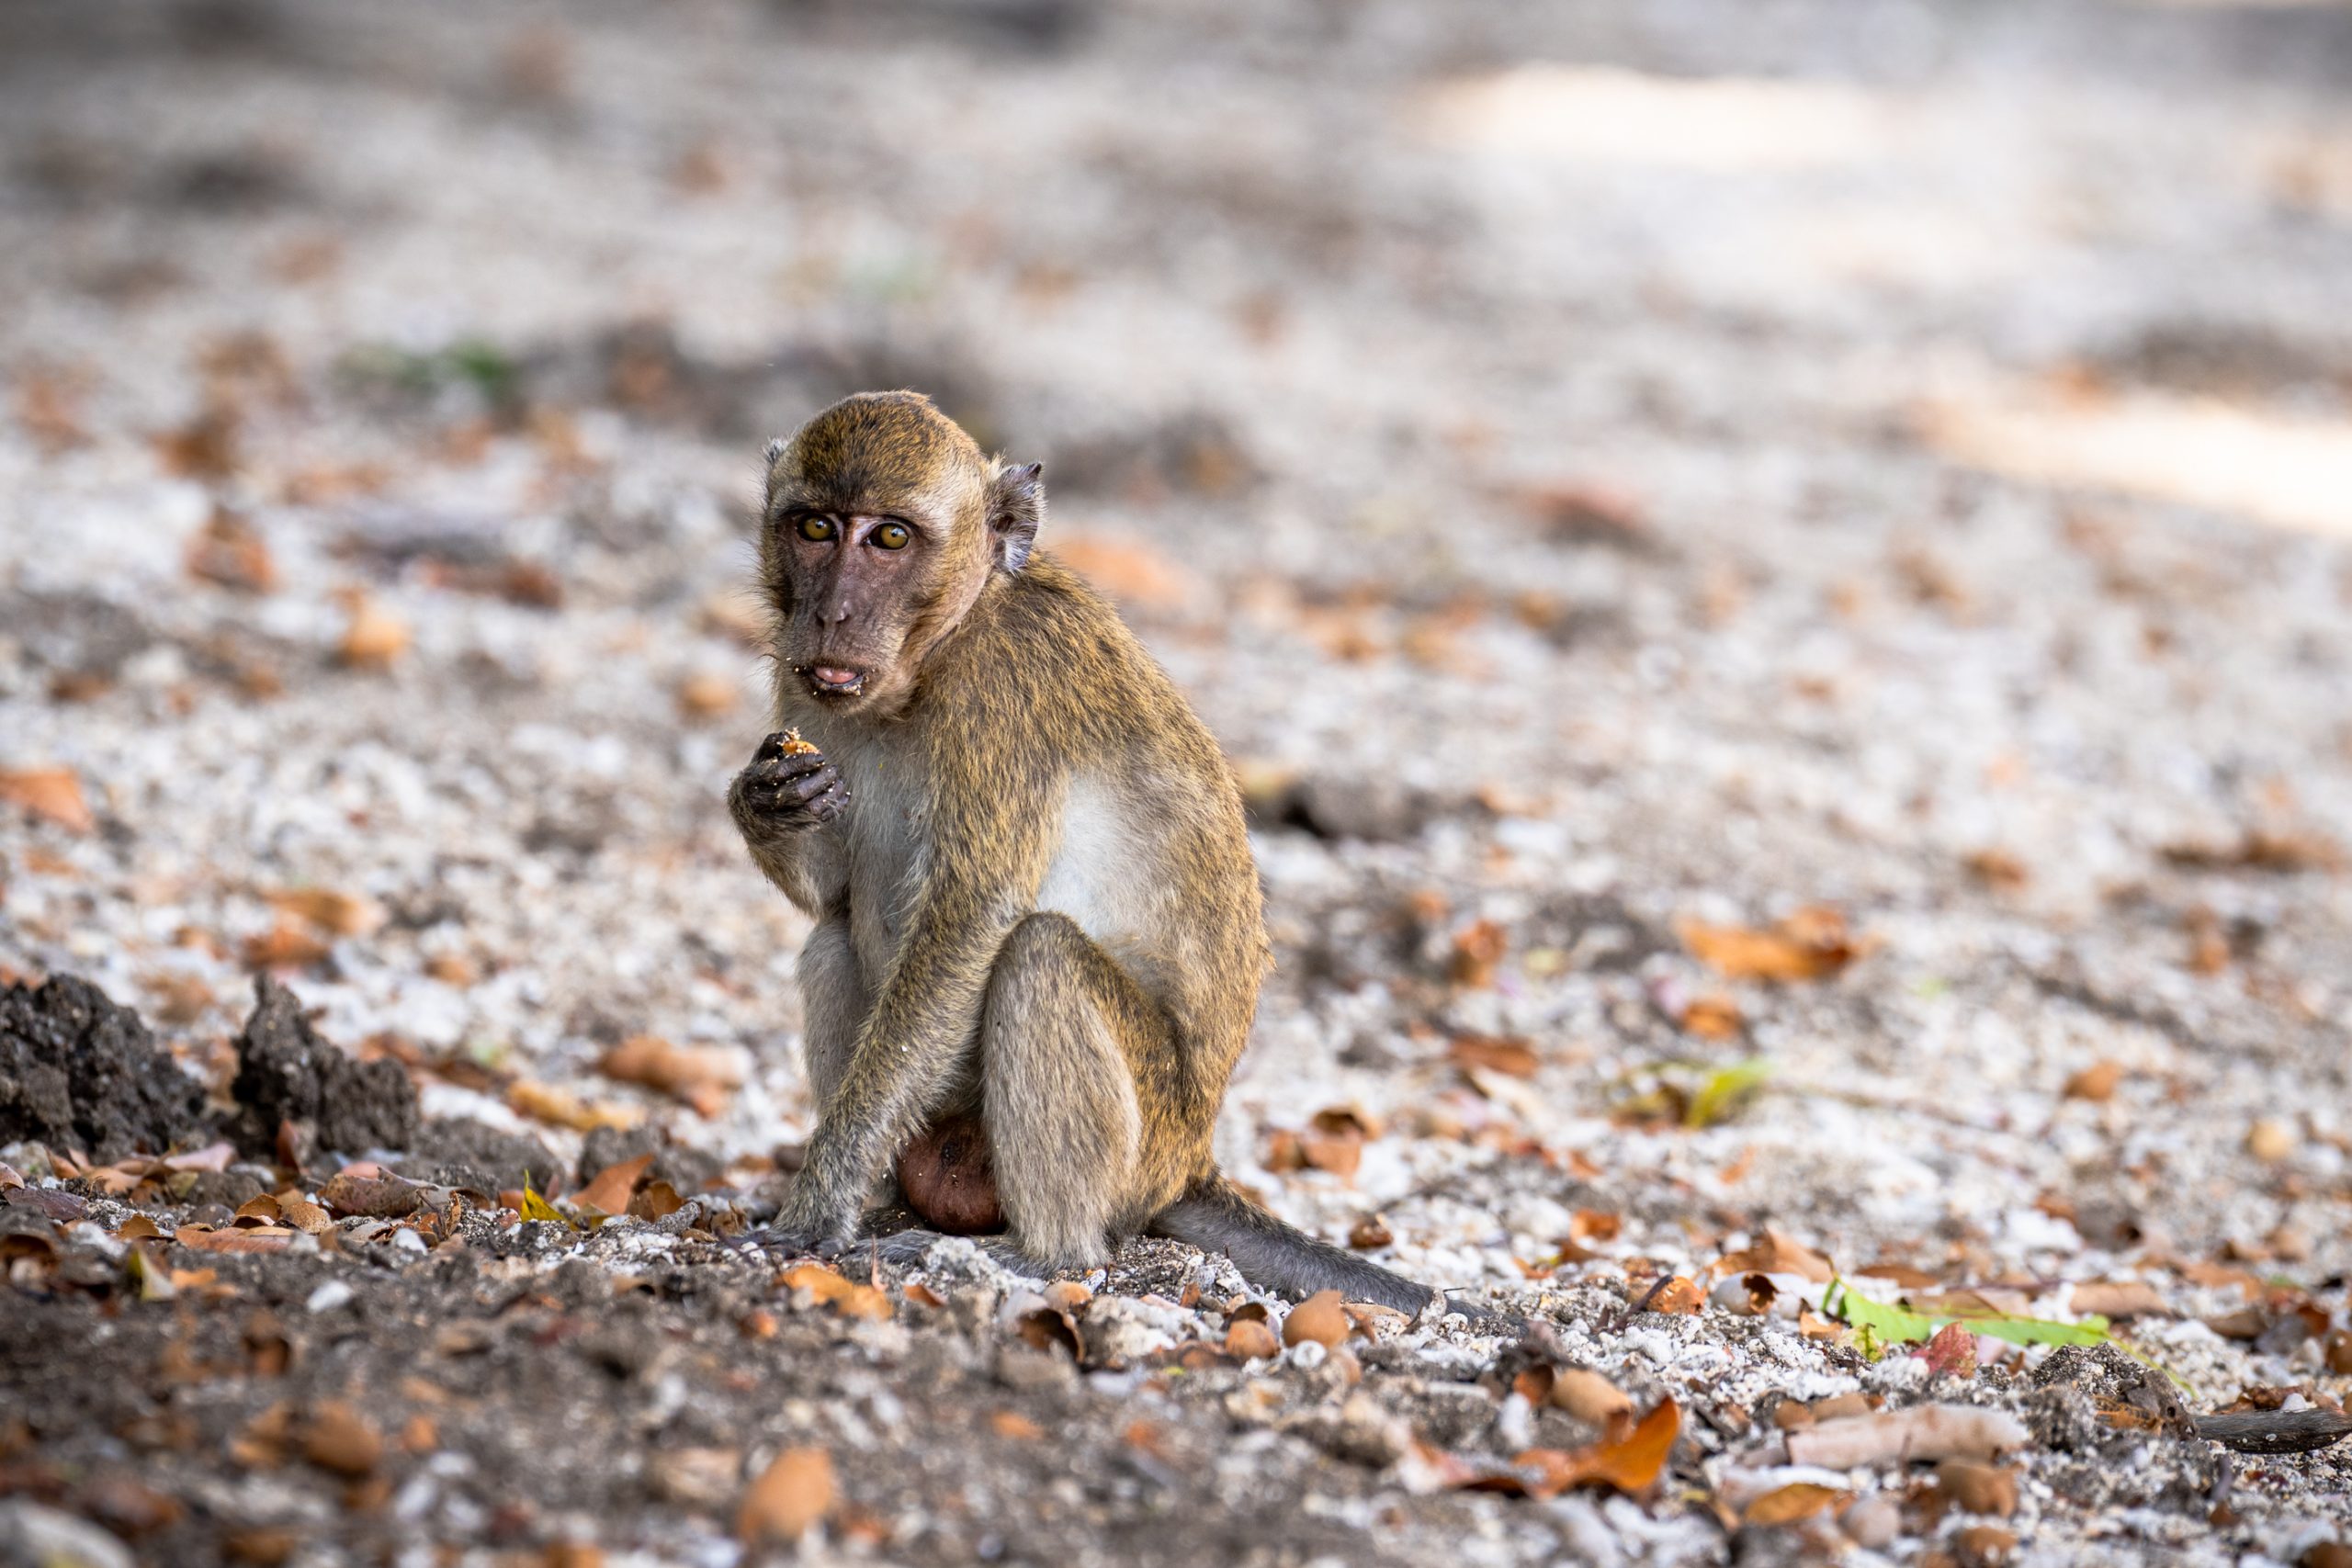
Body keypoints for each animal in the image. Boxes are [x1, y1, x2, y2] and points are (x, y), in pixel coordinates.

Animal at [726, 390, 1439, 1317]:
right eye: (814, 527)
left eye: (889, 538)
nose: (830, 615)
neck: (939, 652)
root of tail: (1191, 1162)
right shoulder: (804, 687)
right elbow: (834, 892)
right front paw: (765, 801)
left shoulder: (1003, 695)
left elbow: (973, 918)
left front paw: (820, 1196)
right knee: (833, 940)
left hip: (1141, 1148)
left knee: (1042, 955)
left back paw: (1041, 1254)